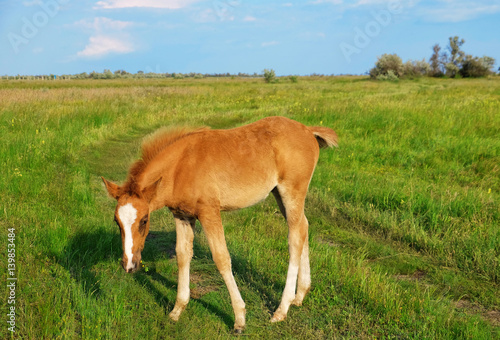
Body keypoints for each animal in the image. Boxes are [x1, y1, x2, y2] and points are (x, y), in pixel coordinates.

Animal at [101, 116, 336, 332]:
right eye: (117, 222)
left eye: (144, 220)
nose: (129, 265)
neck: (180, 167)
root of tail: (307, 130)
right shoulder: (182, 216)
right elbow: (183, 255)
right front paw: (177, 310)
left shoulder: (209, 212)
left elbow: (222, 258)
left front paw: (240, 318)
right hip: (280, 194)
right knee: (303, 227)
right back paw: (300, 295)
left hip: (292, 191)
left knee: (294, 238)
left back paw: (281, 309)